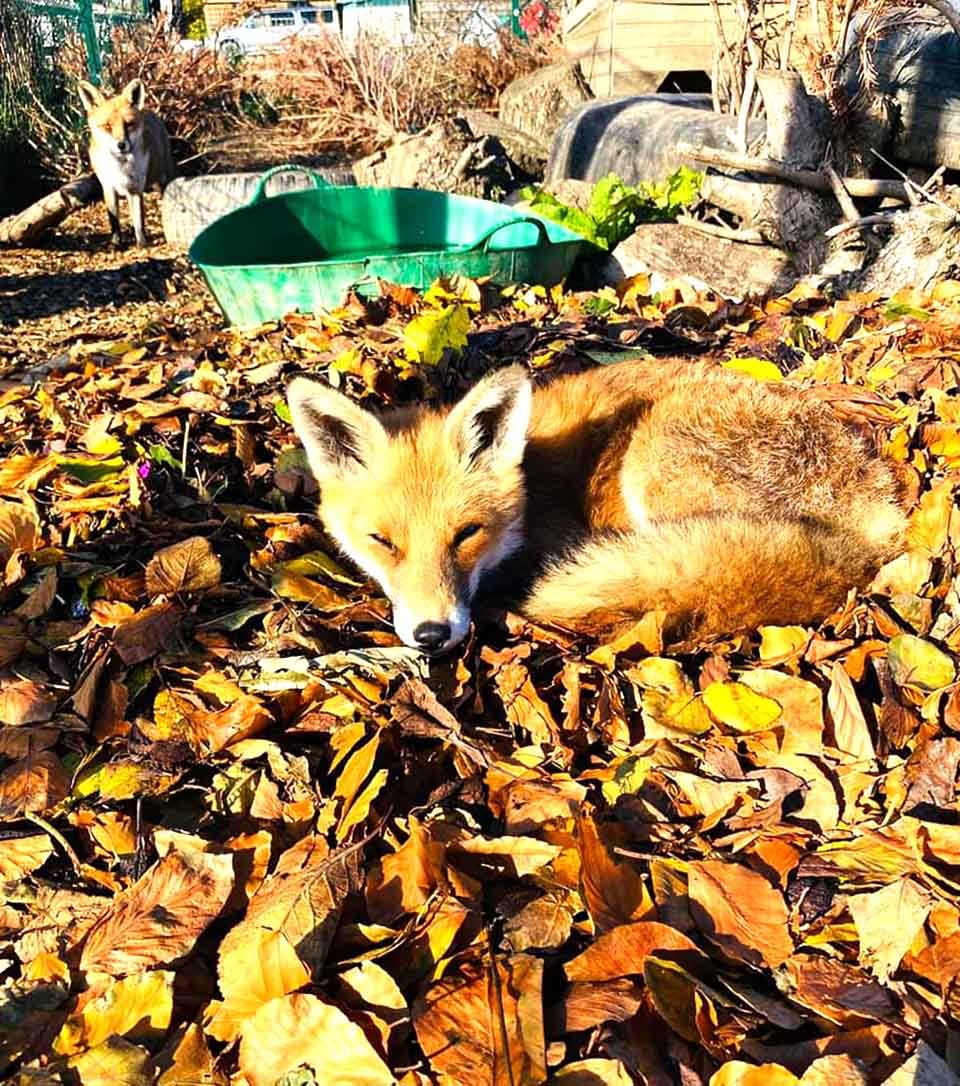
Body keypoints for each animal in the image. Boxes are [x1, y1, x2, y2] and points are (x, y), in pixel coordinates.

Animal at [77, 78, 174, 248]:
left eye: (128, 125)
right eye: (107, 126)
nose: (121, 145)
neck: (120, 168)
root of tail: (148, 111)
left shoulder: (135, 190)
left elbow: (139, 223)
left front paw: (142, 245)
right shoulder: (108, 188)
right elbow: (114, 221)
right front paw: (116, 244)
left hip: (163, 178)